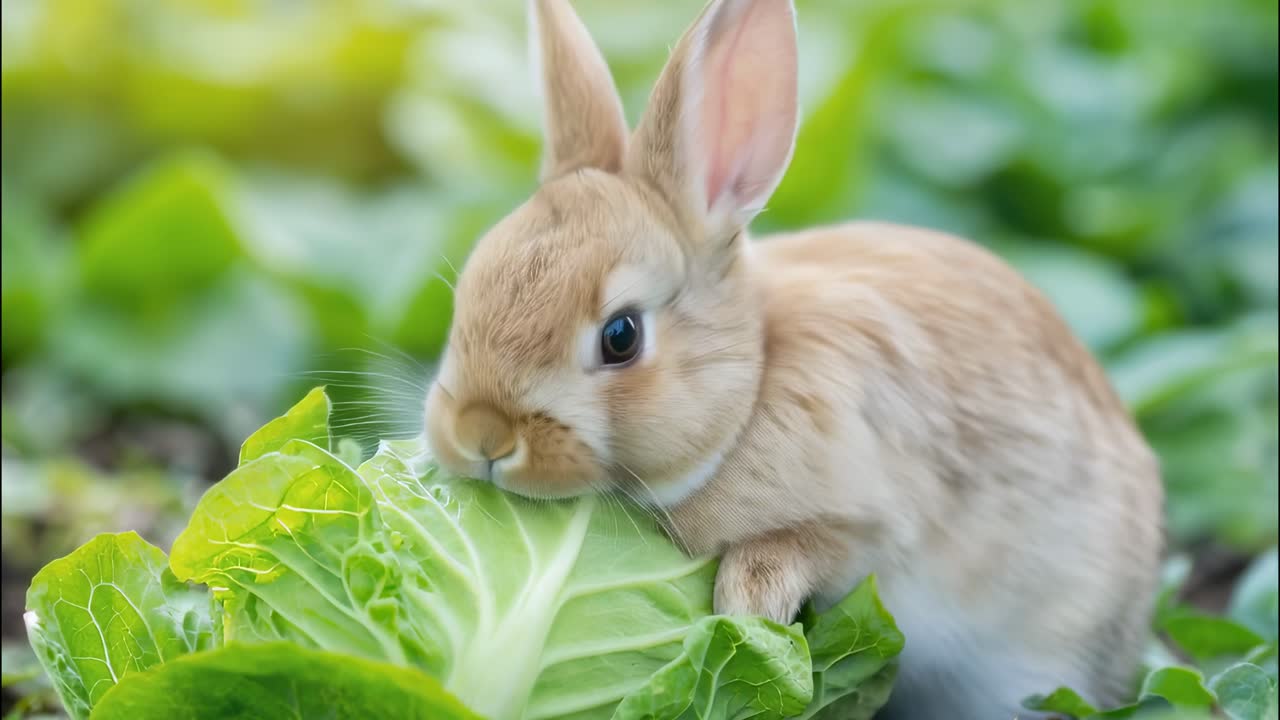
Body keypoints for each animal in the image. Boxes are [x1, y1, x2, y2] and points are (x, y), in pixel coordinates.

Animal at [422, 0, 1166, 717]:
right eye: (469, 291)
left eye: (621, 336)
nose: (482, 434)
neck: (750, 392)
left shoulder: (870, 526)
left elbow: (806, 547)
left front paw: (749, 612)